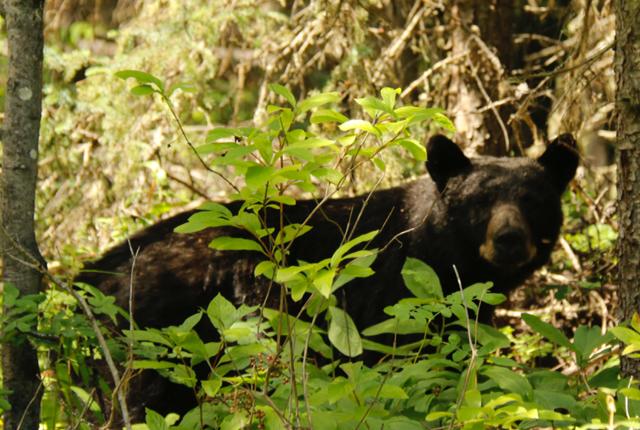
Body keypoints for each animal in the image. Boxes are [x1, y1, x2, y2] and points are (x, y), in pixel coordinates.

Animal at [76, 133, 578, 422]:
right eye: (479, 201)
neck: (437, 254)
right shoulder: (388, 304)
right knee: (142, 398)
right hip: (160, 336)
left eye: (533, 200)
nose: (510, 239)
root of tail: (95, 272)